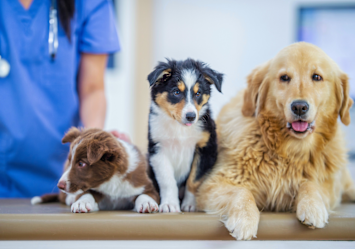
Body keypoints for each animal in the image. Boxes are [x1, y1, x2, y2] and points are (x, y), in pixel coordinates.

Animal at [32, 127, 160, 213]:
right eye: (69, 161)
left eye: (81, 164)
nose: (60, 185)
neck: (111, 181)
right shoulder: (90, 188)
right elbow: (86, 193)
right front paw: (81, 203)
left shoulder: (145, 184)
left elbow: (145, 194)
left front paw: (147, 202)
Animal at [197, 41, 355, 240]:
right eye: (284, 77)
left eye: (317, 77)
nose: (299, 107)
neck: (288, 149)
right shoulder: (213, 184)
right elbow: (242, 191)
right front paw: (244, 218)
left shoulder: (330, 186)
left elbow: (311, 184)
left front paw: (313, 207)